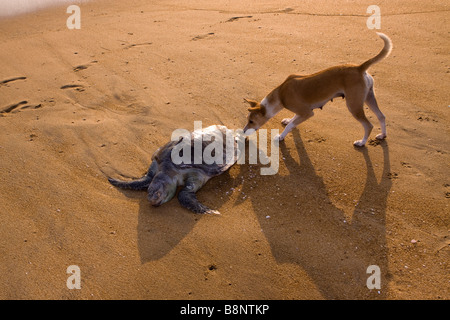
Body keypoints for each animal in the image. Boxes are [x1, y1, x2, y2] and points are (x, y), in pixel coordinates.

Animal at [244, 31, 392, 147]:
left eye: (251, 121)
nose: (243, 131)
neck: (281, 94)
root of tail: (359, 68)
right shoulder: (302, 111)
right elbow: (292, 120)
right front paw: (287, 120)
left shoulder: (307, 113)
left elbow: (291, 125)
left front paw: (281, 136)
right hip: (369, 97)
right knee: (381, 116)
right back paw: (382, 135)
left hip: (353, 105)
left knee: (368, 125)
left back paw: (361, 142)